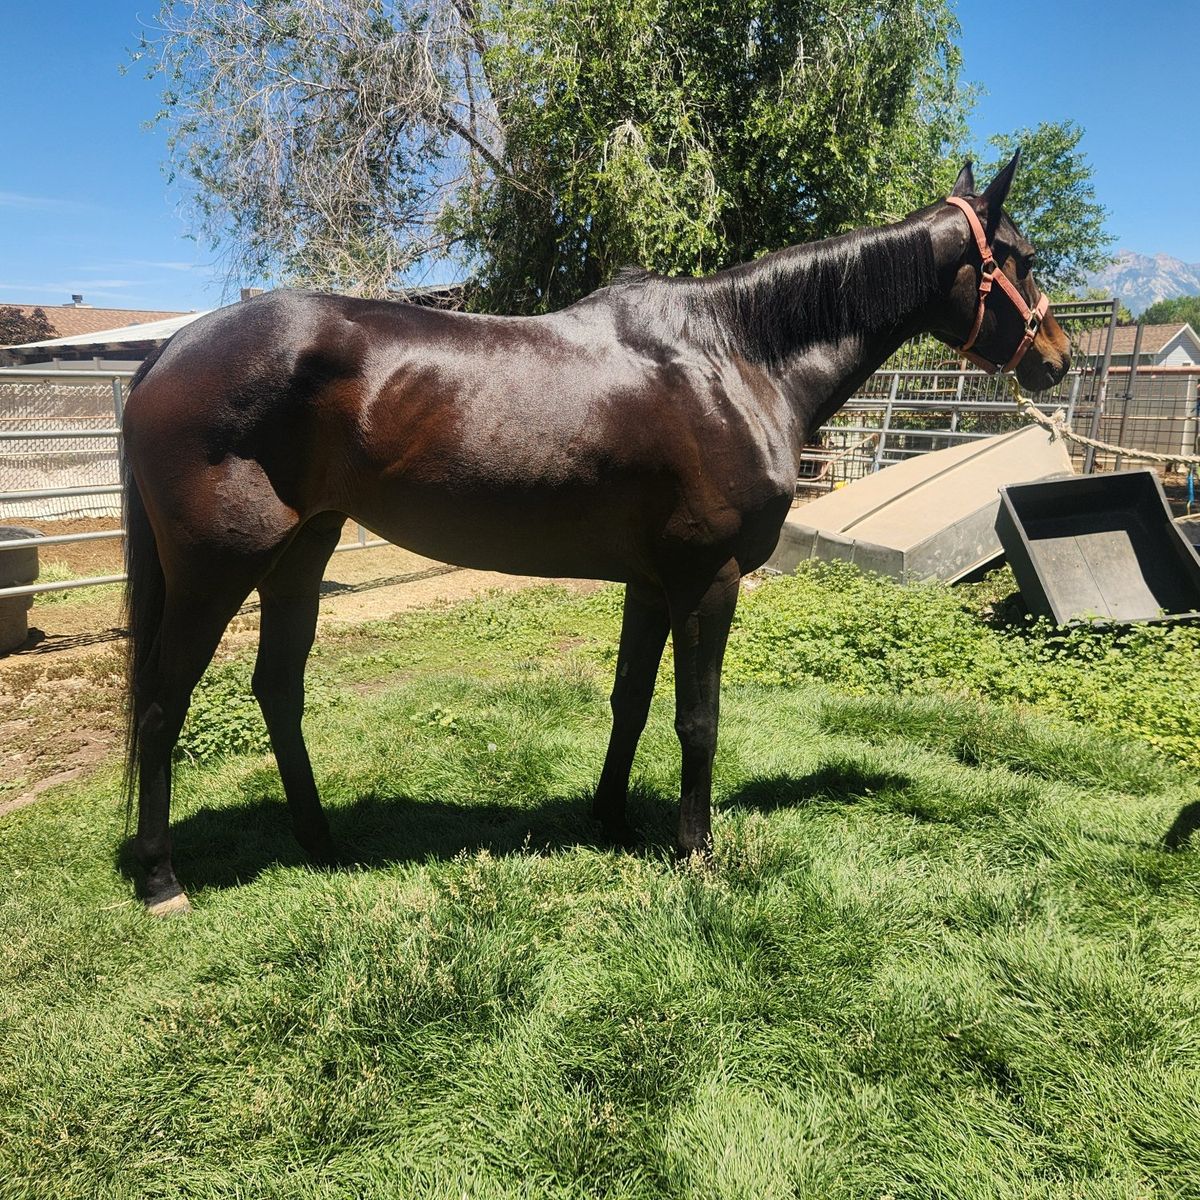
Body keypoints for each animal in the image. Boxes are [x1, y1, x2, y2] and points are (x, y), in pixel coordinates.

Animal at [122, 153, 1070, 913]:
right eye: (1020, 257)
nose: (1059, 360)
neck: (733, 359)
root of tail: (169, 351)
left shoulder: (651, 583)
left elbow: (631, 701)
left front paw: (610, 820)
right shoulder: (707, 580)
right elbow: (698, 718)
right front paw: (696, 852)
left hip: (301, 554)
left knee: (277, 690)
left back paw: (321, 843)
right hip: (214, 571)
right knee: (163, 705)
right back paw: (164, 879)